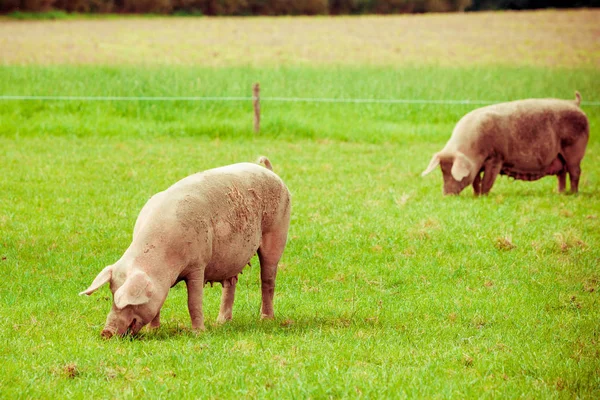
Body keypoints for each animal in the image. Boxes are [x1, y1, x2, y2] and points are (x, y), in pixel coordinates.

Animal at [79, 156, 290, 338]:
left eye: (128, 302)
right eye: (112, 293)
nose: (106, 332)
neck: (165, 260)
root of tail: (271, 172)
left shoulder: (198, 265)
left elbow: (194, 301)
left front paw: (199, 333)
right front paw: (154, 331)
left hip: (277, 232)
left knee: (268, 279)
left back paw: (266, 320)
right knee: (230, 284)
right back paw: (221, 323)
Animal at [422, 92, 592, 195]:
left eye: (451, 172)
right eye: (442, 171)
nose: (446, 195)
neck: (473, 151)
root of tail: (575, 104)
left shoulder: (496, 158)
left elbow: (487, 180)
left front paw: (483, 196)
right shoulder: (477, 166)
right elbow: (476, 181)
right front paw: (476, 195)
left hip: (574, 150)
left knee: (575, 172)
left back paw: (574, 194)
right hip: (559, 156)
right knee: (562, 173)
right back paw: (560, 193)